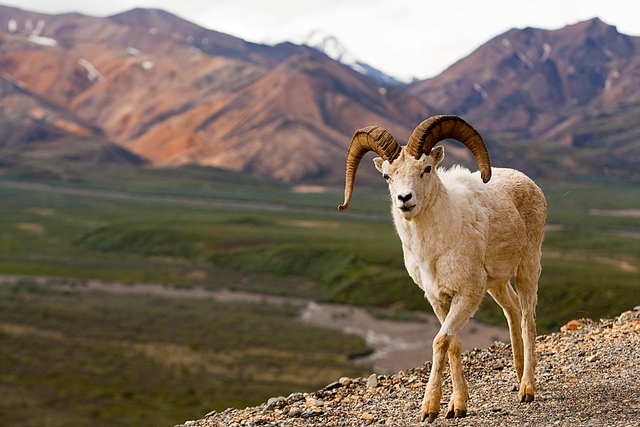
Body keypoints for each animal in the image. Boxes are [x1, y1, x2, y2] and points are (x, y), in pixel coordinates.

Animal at [340, 115, 544, 422]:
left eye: (426, 169)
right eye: (387, 176)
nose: (404, 199)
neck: (433, 252)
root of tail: (529, 183)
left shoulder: (467, 295)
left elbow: (440, 341)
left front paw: (430, 409)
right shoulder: (438, 299)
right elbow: (454, 344)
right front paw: (457, 406)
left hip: (527, 269)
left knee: (527, 320)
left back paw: (527, 390)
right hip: (496, 283)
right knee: (513, 311)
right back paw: (518, 377)